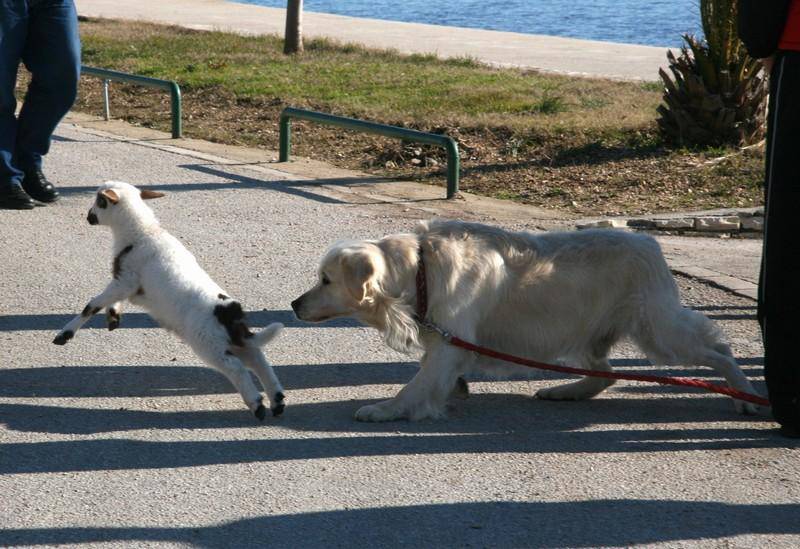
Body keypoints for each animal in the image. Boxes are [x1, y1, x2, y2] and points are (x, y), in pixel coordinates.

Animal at [53, 182, 286, 418]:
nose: (88, 217)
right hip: (234, 340)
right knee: (258, 359)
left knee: (236, 367)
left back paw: (257, 404)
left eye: (100, 201)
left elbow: (91, 305)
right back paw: (277, 401)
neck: (142, 232)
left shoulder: (126, 280)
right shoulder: (125, 284)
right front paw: (113, 317)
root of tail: (229, 312)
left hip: (208, 343)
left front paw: (64, 334)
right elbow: (109, 301)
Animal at [290, 218, 760, 420]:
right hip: (589, 331)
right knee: (605, 372)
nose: (294, 305)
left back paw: (744, 391)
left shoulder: (450, 342)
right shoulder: (445, 340)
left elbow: (418, 384)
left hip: (657, 330)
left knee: (719, 348)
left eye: (325, 279)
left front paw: (386, 409)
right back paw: (566, 391)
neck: (420, 268)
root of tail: (651, 242)